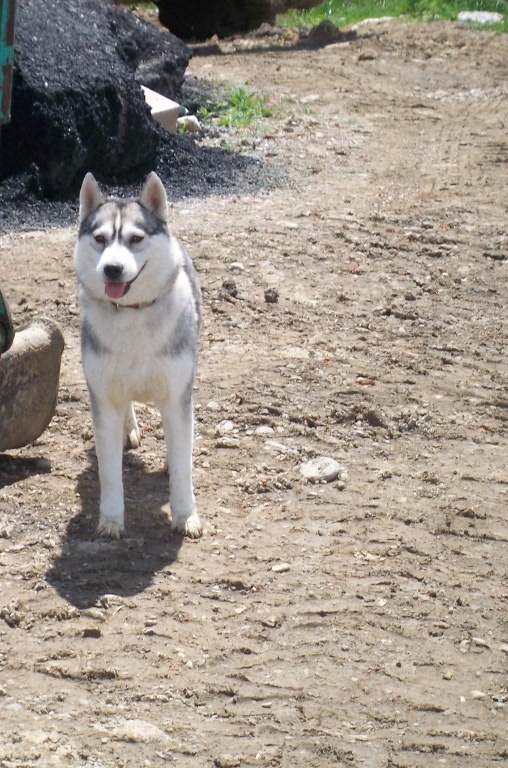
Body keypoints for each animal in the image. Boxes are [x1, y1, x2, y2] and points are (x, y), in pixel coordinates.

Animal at [74, 170, 201, 536]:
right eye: (100, 239)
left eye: (136, 238)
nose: (112, 269)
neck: (132, 314)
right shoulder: (103, 396)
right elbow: (109, 473)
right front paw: (111, 520)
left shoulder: (176, 395)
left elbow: (183, 465)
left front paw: (186, 515)